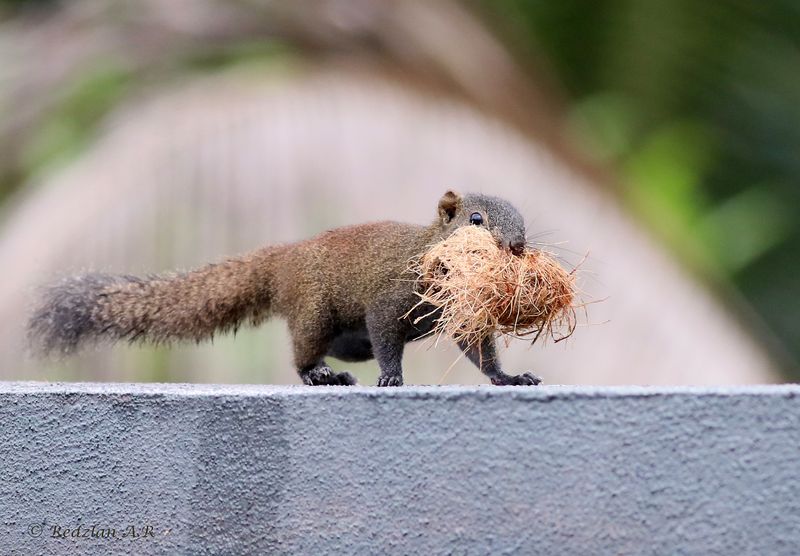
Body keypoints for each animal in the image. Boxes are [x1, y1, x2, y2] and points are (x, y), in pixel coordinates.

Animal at [27, 191, 542, 387]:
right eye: (475, 219)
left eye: (523, 219)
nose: (517, 245)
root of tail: (284, 260)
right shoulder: (388, 298)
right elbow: (386, 336)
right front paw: (392, 377)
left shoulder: (462, 317)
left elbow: (480, 352)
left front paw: (509, 378)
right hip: (313, 311)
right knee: (303, 352)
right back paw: (320, 375)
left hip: (342, 335)